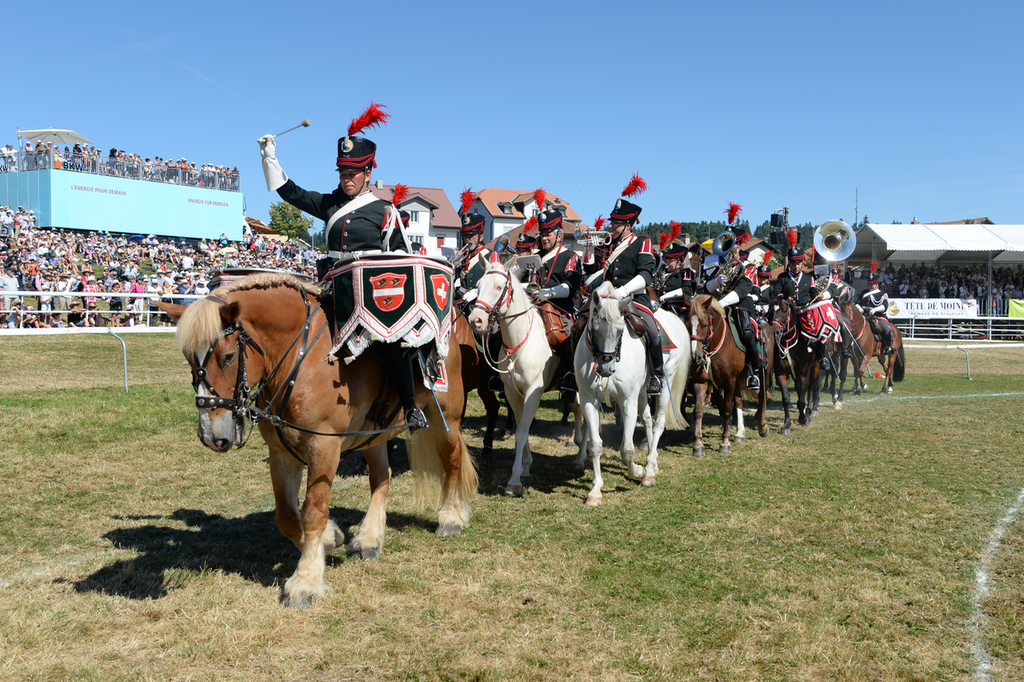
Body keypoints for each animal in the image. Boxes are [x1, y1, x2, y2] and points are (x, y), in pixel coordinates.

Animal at [157, 272, 477, 606]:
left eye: (229, 356)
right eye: (188, 359)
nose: (211, 435)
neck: (301, 358)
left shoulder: (325, 446)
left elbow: (313, 511)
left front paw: (306, 582)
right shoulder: (281, 452)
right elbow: (286, 515)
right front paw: (330, 539)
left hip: (447, 416)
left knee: (453, 460)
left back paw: (450, 517)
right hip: (373, 434)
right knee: (381, 477)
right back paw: (369, 538)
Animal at [468, 254, 581, 493]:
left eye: (499, 286)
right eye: (478, 286)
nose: (476, 320)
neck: (519, 345)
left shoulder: (532, 393)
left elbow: (521, 433)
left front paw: (515, 481)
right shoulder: (513, 393)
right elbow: (522, 427)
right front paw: (526, 468)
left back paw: (581, 455)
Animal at [577, 278, 688, 503]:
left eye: (621, 331)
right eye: (594, 328)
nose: (606, 369)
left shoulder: (627, 400)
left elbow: (627, 450)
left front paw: (638, 471)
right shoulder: (588, 398)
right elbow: (595, 445)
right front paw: (595, 490)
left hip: (666, 382)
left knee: (658, 422)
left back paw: (650, 469)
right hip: (643, 390)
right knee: (647, 420)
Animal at [684, 292, 770, 456]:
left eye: (704, 325)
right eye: (687, 324)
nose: (695, 357)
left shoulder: (729, 381)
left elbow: (726, 410)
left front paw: (724, 442)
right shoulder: (700, 381)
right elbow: (698, 411)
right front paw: (698, 444)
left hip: (764, 372)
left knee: (762, 398)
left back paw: (762, 427)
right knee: (739, 401)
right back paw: (740, 434)